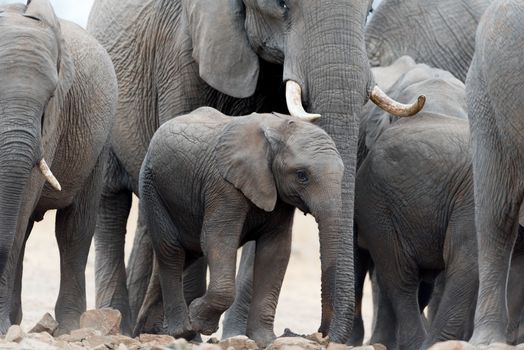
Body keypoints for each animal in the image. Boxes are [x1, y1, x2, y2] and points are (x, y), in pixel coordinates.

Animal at [0, 0, 116, 334]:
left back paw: (68, 328)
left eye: (51, 97)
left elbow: (21, 205)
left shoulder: (54, 120)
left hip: (99, 146)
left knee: (73, 230)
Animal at [137, 107, 346, 348]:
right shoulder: (223, 185)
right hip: (152, 187)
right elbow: (218, 240)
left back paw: (149, 330)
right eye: (302, 175)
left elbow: (275, 252)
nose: (321, 334)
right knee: (171, 251)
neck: (277, 129)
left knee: (184, 255)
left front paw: (265, 340)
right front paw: (200, 321)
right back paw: (182, 330)